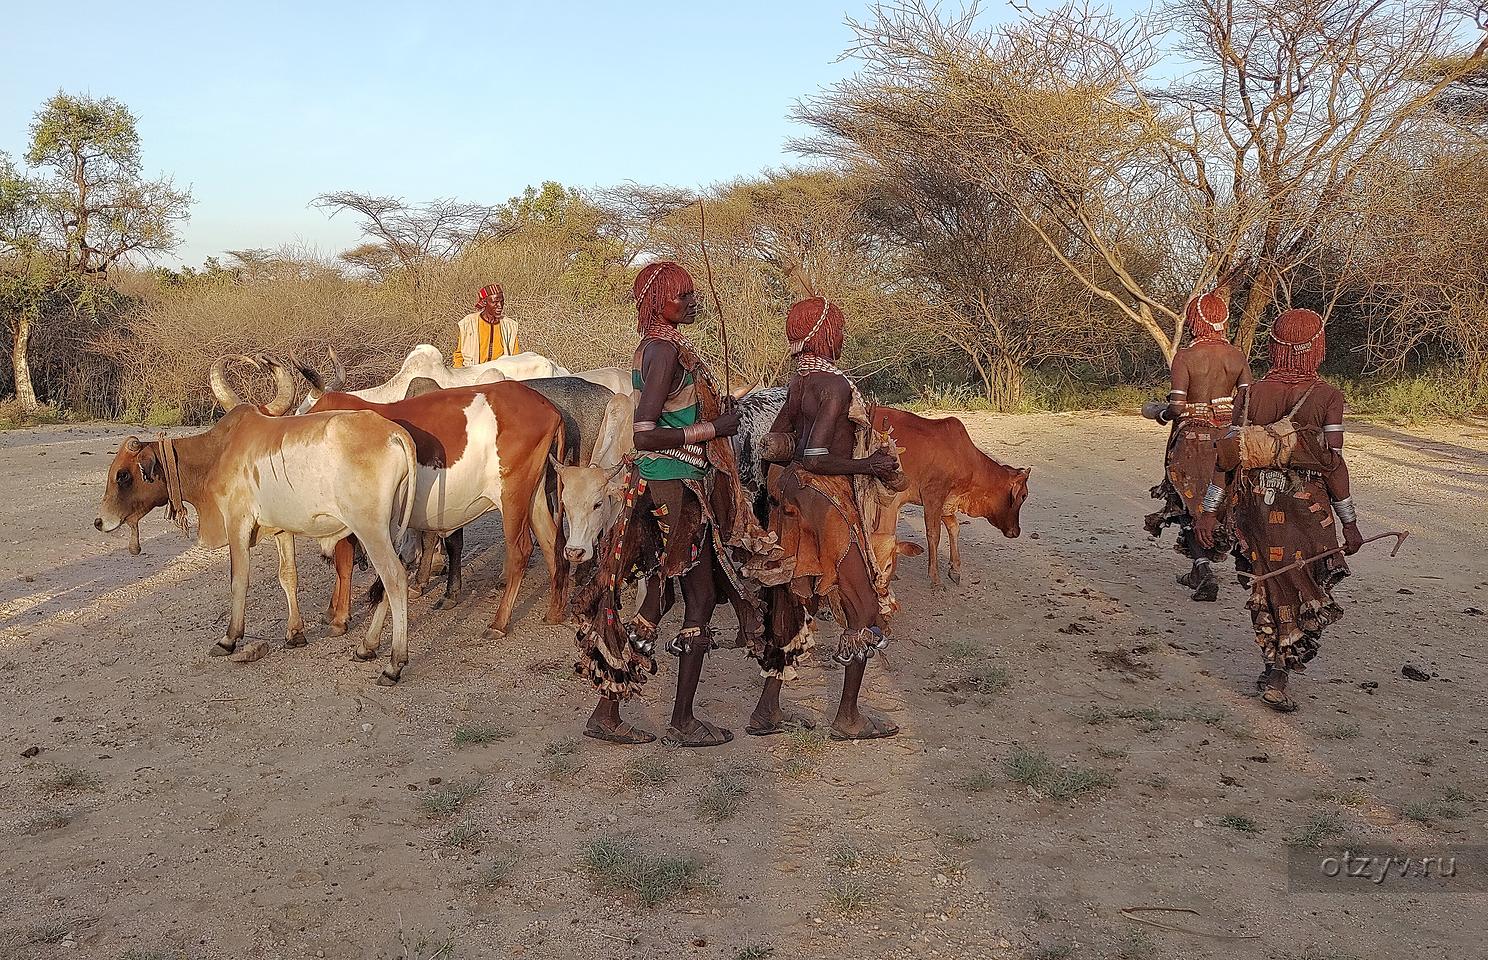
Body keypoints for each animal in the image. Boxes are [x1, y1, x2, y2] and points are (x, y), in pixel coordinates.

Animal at [94, 370, 419, 684]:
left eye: (123, 475)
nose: (99, 522)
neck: (216, 454)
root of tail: (393, 433)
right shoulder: (281, 529)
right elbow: (288, 577)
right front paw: (295, 633)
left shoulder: (237, 523)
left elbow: (239, 580)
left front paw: (229, 638)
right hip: (391, 527)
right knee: (391, 578)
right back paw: (368, 646)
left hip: (371, 530)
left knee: (394, 578)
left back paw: (394, 663)